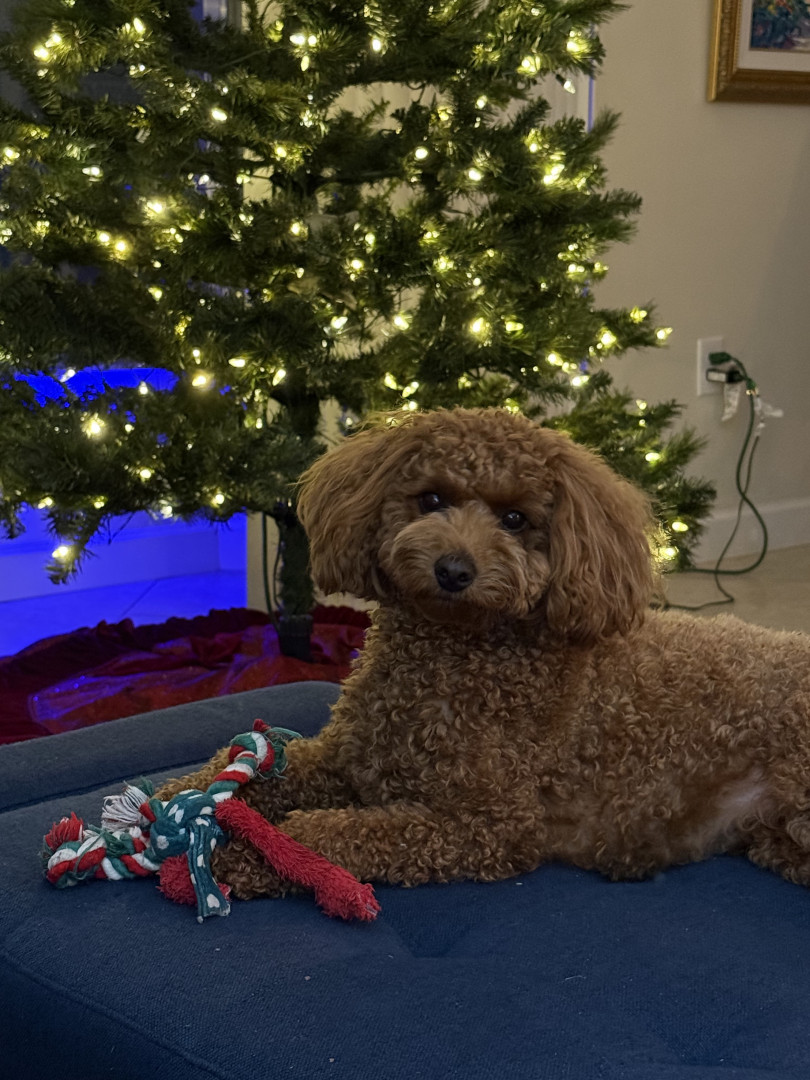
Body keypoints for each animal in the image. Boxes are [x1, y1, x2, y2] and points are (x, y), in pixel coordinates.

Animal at [159, 406, 810, 898]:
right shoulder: (349, 758)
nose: (453, 570)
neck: (452, 657)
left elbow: (333, 837)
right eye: (431, 499)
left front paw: (241, 858)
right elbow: (260, 766)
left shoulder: (488, 826)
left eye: (515, 518)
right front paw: (173, 798)